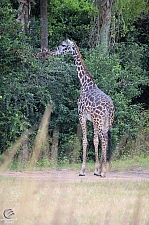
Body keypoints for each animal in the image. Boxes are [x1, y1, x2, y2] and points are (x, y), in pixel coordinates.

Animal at [52, 39, 114, 178]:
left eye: (63, 45)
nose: (54, 52)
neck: (85, 84)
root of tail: (109, 107)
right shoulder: (93, 120)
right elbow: (95, 141)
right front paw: (96, 169)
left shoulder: (81, 116)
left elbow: (85, 141)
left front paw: (82, 170)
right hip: (107, 122)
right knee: (105, 139)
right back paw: (102, 170)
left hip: (99, 121)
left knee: (104, 139)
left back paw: (104, 172)